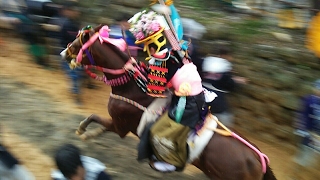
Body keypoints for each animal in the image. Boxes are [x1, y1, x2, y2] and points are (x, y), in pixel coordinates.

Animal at [60, 24, 278, 180]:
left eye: (77, 43)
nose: (63, 52)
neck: (130, 88)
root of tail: (257, 159)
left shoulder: (120, 125)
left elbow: (95, 118)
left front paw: (83, 130)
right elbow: (97, 122)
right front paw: (88, 133)